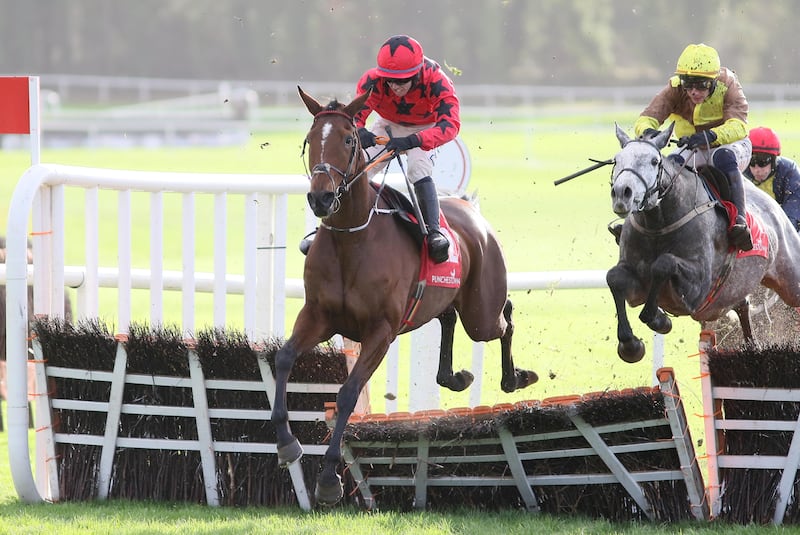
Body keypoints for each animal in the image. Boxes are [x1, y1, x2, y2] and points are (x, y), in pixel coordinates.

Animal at [272, 88, 540, 506]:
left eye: (348, 140)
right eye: (310, 139)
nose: (321, 198)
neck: (352, 239)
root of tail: (470, 209)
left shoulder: (380, 332)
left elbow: (348, 394)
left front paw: (329, 479)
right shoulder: (317, 315)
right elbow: (284, 359)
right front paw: (287, 444)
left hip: (481, 312)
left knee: (504, 317)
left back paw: (515, 377)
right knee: (448, 317)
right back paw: (454, 376)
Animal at [608, 123, 800, 362]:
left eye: (654, 161)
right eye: (617, 160)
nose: (622, 193)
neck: (658, 225)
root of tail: (773, 206)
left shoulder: (698, 287)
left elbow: (663, 264)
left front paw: (658, 319)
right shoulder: (634, 277)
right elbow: (614, 278)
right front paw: (631, 344)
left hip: (790, 277)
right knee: (742, 304)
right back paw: (751, 344)